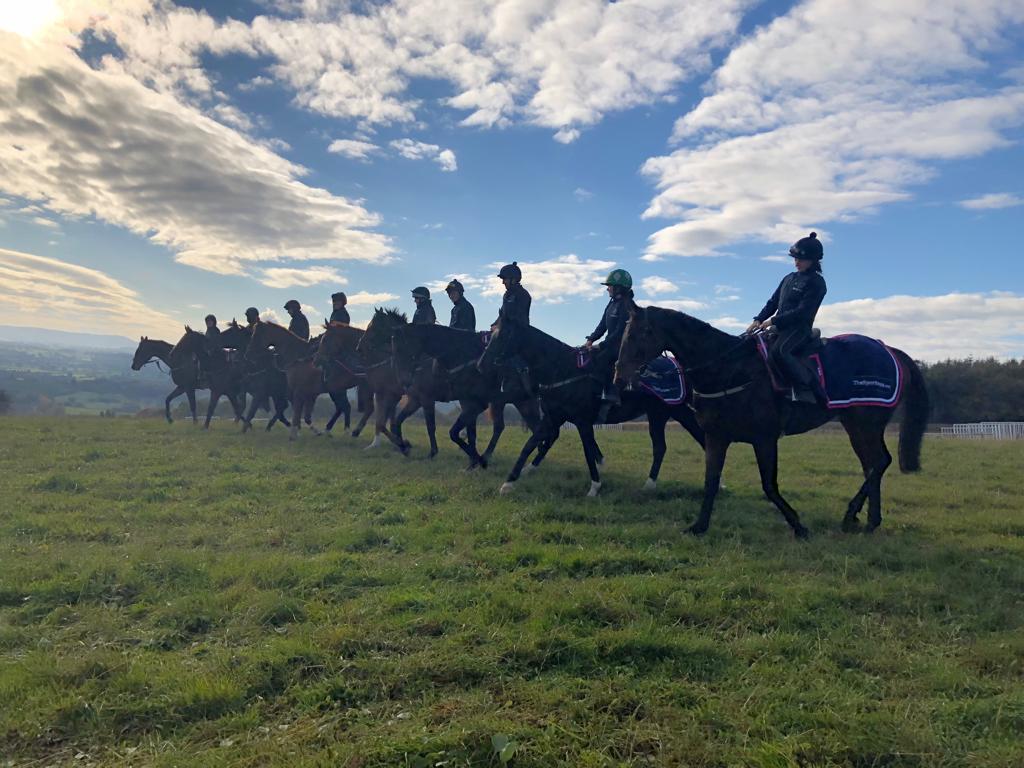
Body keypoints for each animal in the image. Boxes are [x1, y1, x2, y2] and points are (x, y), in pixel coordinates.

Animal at [385, 323, 544, 468]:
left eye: (399, 348)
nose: (403, 381)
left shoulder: (431, 400)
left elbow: (441, 429)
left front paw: (433, 453)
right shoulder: (417, 400)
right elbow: (398, 421)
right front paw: (404, 447)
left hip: (516, 403)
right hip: (517, 403)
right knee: (526, 428)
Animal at [477, 319, 704, 499]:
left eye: (503, 335)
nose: (481, 364)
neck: (564, 370)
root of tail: (680, 368)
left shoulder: (583, 421)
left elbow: (587, 451)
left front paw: (594, 487)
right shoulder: (553, 418)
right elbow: (529, 444)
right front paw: (509, 482)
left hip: (681, 413)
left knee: (700, 439)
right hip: (658, 416)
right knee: (660, 448)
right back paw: (649, 485)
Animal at [610, 303, 933, 536]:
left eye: (637, 334)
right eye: (624, 335)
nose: (619, 377)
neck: (730, 368)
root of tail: (888, 349)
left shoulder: (764, 438)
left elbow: (769, 485)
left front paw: (798, 525)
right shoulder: (717, 437)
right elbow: (711, 481)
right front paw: (699, 526)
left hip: (863, 423)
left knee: (877, 463)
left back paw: (853, 515)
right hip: (859, 425)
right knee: (874, 464)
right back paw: (867, 520)